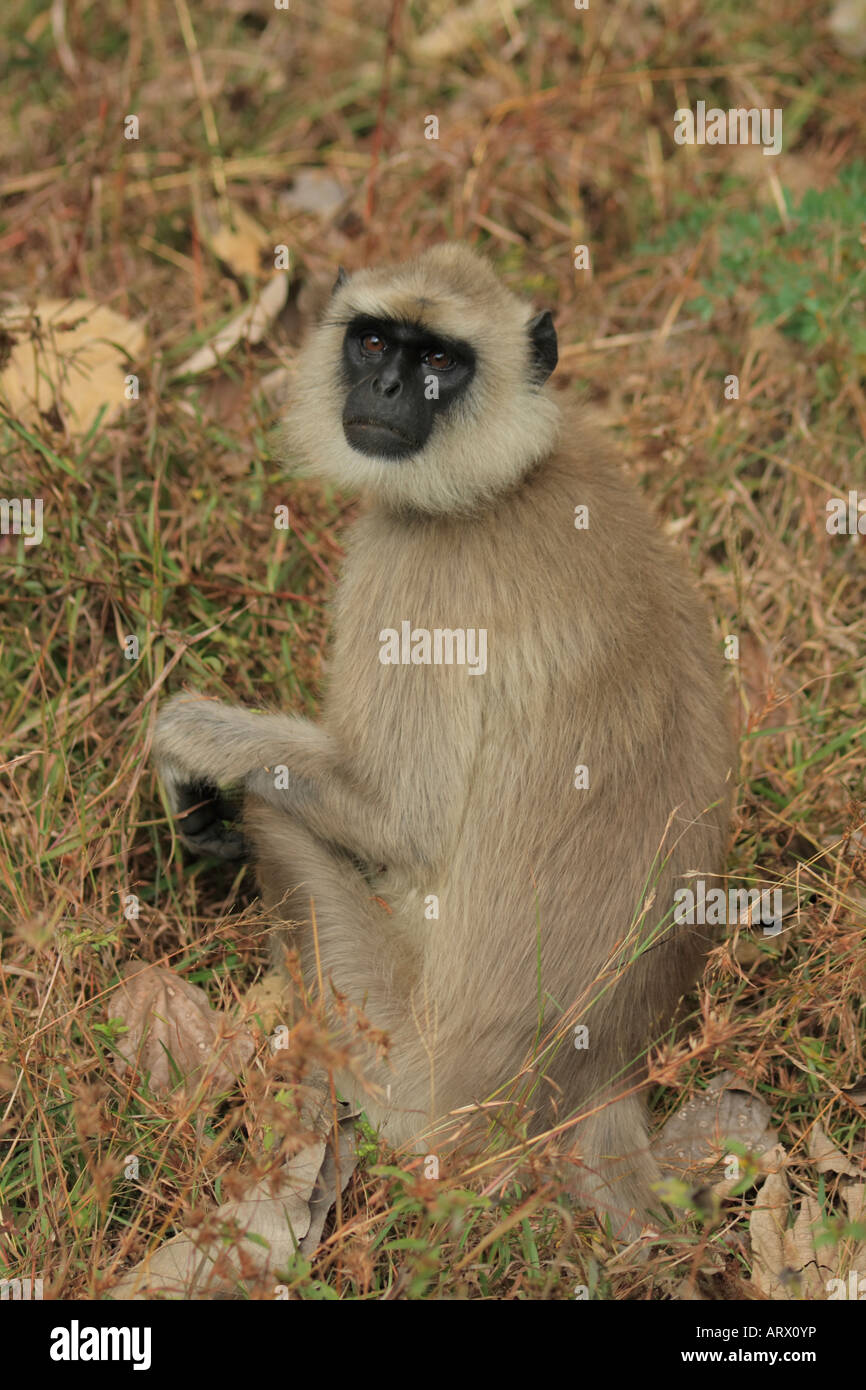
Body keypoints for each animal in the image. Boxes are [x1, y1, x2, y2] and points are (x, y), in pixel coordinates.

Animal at [152, 244, 733, 1234]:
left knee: (284, 818)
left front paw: (188, 749)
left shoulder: (412, 563)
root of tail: (597, 1080)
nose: (387, 385)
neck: (511, 475)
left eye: (436, 361)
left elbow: (400, 818)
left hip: (393, 1055)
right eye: (374, 342)